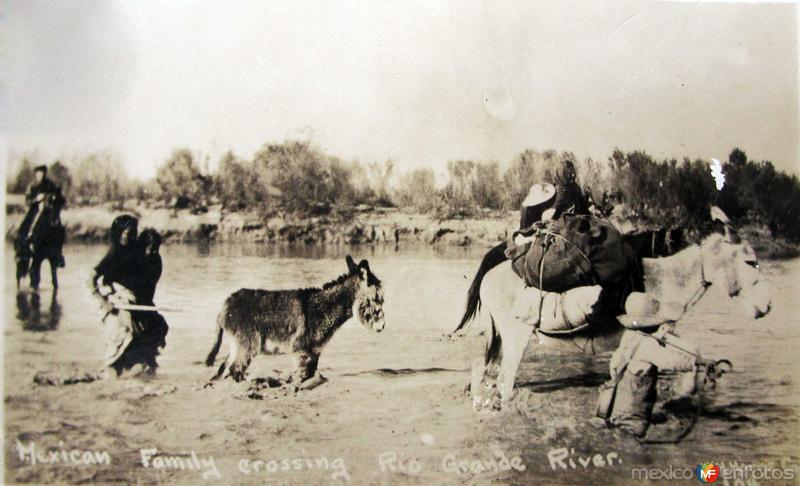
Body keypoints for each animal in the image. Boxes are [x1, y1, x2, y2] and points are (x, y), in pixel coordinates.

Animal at [460, 211, 772, 408]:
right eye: (750, 262)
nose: (767, 306)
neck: (662, 278)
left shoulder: (658, 335)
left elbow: (692, 353)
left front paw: (683, 394)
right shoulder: (641, 335)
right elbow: (622, 369)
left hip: (498, 335)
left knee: (483, 369)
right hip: (516, 335)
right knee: (505, 382)